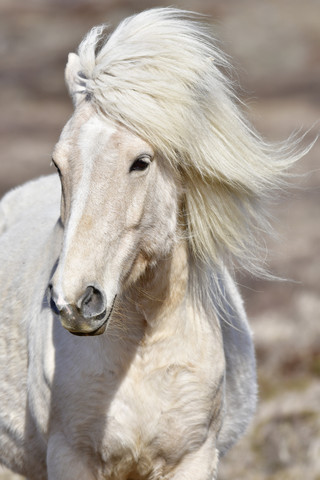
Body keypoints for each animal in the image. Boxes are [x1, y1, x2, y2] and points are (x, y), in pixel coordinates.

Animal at [0, 7, 302, 480]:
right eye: (58, 163)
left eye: (141, 162)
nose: (74, 301)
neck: (144, 343)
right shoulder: (70, 458)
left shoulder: (194, 458)